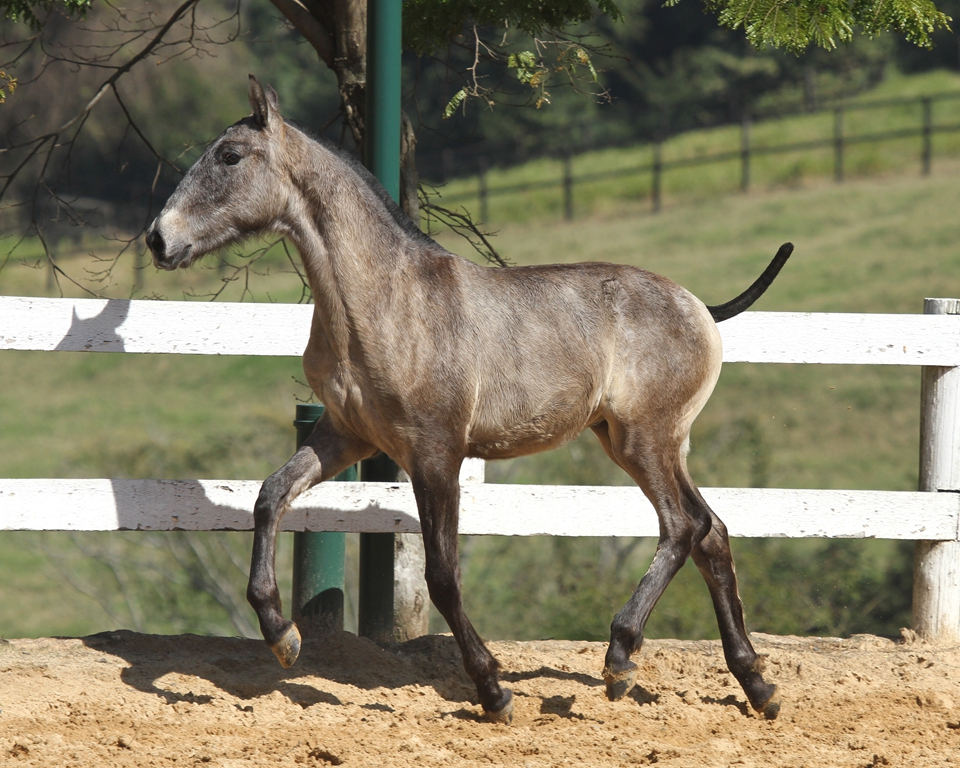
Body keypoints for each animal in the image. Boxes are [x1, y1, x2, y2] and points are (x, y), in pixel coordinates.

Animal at [146, 76, 792, 725]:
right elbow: (269, 497)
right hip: (639, 443)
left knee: (683, 527)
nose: (158, 238)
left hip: (645, 441)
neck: (387, 303)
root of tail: (701, 308)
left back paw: (620, 658)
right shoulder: (345, 436)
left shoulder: (436, 454)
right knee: (711, 532)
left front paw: (493, 690)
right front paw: (283, 636)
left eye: (230, 156)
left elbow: (443, 576)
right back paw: (756, 684)